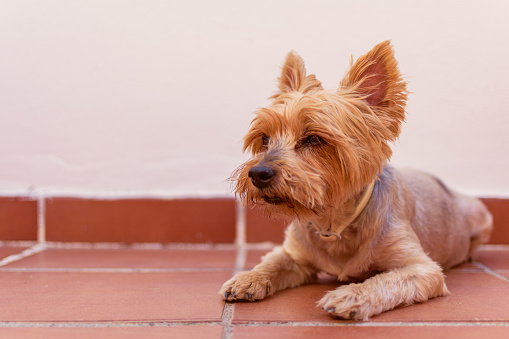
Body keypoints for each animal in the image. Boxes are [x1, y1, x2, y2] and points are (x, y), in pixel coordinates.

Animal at [219, 41, 492, 320]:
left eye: (314, 139)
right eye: (265, 139)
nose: (258, 173)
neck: (334, 222)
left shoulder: (422, 270)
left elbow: (386, 281)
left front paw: (351, 294)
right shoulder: (294, 254)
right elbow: (272, 262)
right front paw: (248, 278)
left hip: (481, 215)